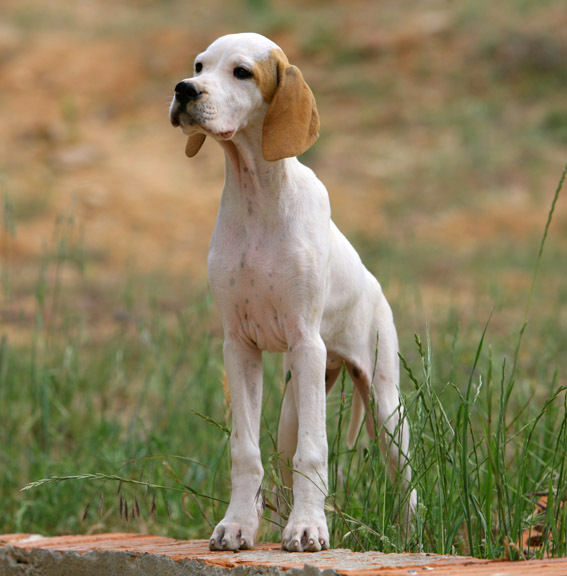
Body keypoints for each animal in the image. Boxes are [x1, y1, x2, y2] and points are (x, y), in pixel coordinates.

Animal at [170, 32, 418, 552]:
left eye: (242, 72)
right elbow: (245, 450)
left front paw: (308, 528)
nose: (184, 90)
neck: (258, 197)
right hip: (291, 406)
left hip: (385, 406)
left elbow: (315, 453)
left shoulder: (306, 342)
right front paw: (238, 525)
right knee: (284, 464)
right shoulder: (239, 346)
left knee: (403, 479)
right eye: (199, 66)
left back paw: (410, 537)